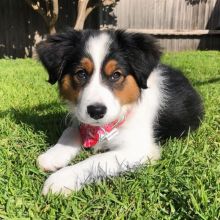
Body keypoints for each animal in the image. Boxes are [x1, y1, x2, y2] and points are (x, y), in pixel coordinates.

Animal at [35, 29, 203, 196]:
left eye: (116, 75)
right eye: (81, 73)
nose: (96, 111)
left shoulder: (140, 149)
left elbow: (97, 160)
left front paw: (62, 178)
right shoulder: (81, 117)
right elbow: (71, 130)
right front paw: (53, 156)